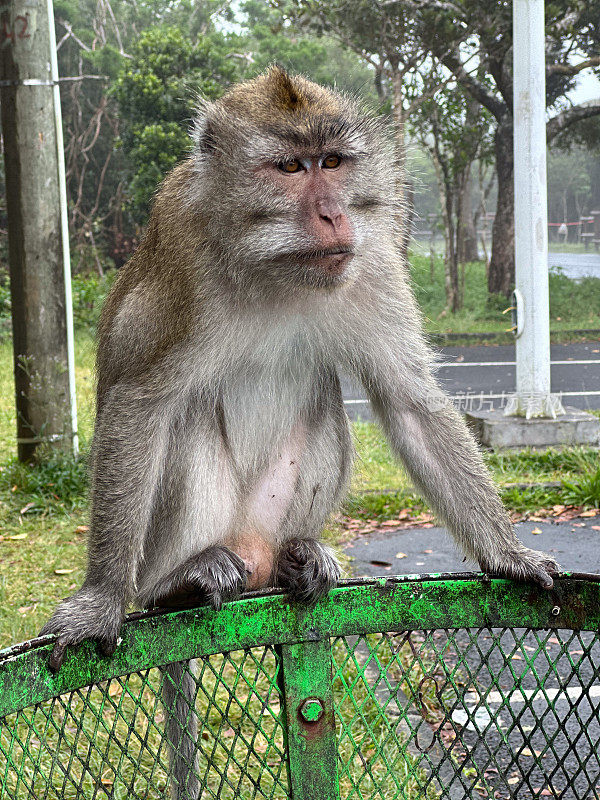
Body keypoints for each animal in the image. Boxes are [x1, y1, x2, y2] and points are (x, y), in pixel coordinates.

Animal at [41, 67, 556, 792]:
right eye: (289, 167)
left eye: (331, 163)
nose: (333, 214)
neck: (276, 268)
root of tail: (249, 548)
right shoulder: (184, 259)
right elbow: (140, 402)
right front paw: (100, 598)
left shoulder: (370, 259)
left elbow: (409, 401)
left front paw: (508, 555)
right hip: (180, 535)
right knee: (185, 421)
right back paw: (178, 582)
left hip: (269, 515)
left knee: (322, 402)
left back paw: (297, 555)